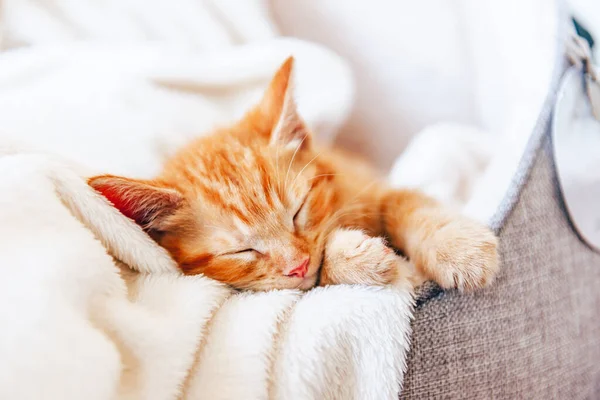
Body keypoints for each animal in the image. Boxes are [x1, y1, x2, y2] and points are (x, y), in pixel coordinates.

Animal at [89, 57, 500, 290]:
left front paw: (457, 247)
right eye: (241, 251)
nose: (297, 265)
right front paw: (359, 260)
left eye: (298, 211)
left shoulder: (372, 184)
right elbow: (319, 278)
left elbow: (406, 202)